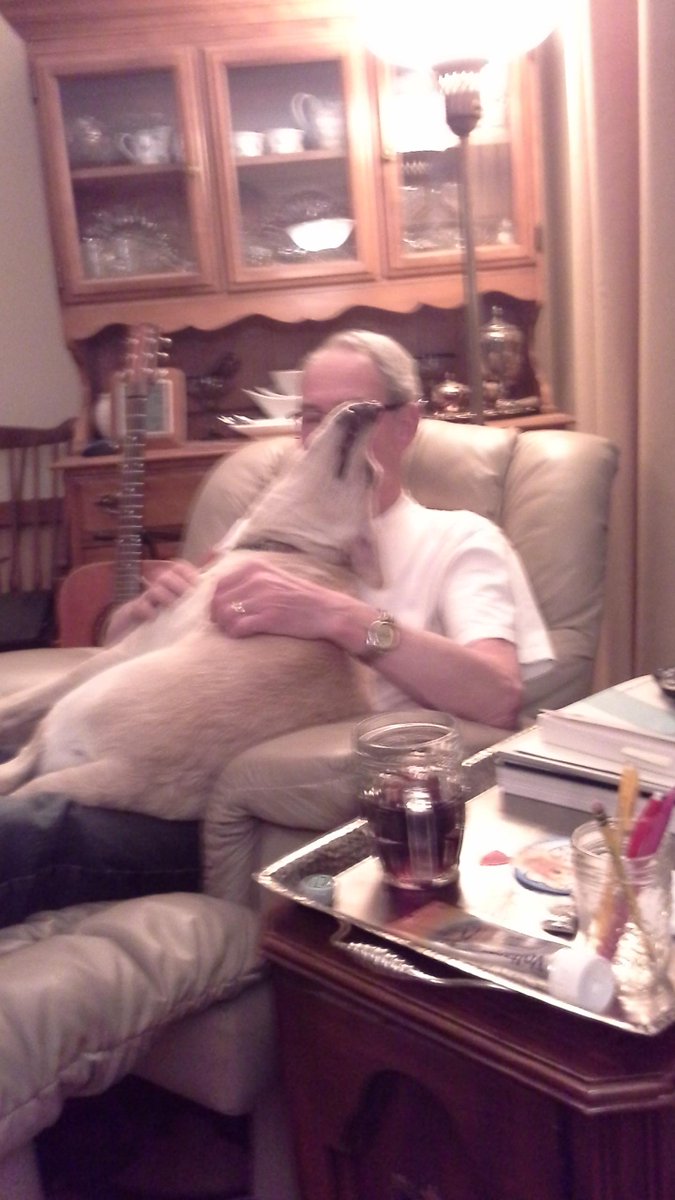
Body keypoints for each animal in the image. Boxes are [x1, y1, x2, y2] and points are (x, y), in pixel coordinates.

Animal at [0, 401, 382, 818]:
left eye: (369, 473)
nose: (370, 407)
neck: (298, 549)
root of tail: (123, 771)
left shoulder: (126, 647)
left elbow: (27, 698)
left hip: (75, 705)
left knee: (20, 760)